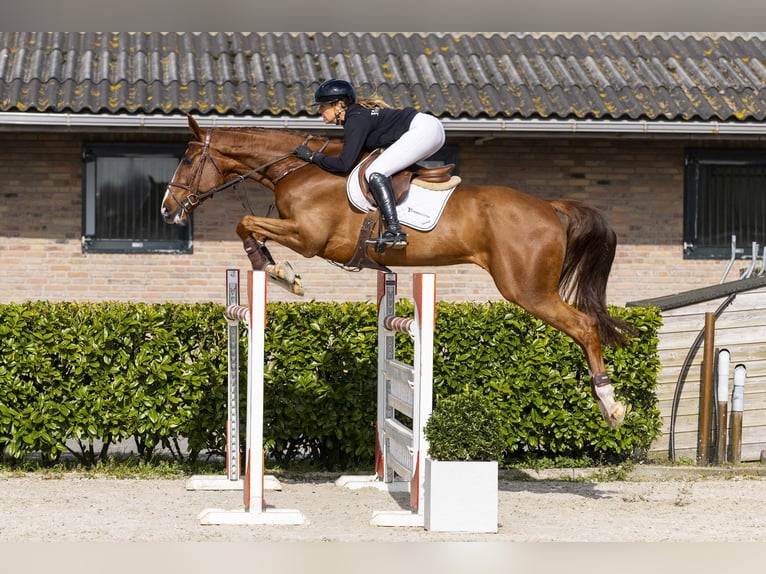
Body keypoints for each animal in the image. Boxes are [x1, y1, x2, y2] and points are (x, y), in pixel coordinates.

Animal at [162, 114, 633, 428]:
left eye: (186, 161)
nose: (167, 209)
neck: (300, 169)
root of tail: (550, 207)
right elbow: (248, 225)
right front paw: (276, 269)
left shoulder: (310, 238)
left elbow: (247, 224)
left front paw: (276, 271)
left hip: (528, 290)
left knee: (586, 326)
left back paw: (610, 405)